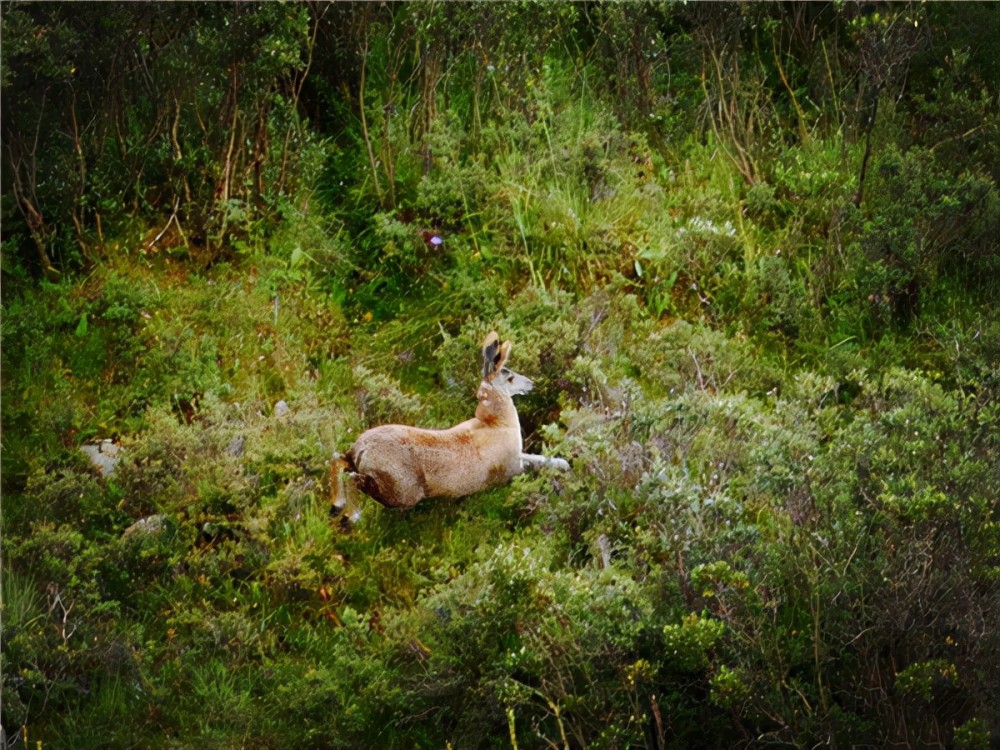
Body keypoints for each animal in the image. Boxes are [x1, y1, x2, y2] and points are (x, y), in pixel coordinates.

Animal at [336, 334, 572, 516]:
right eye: (510, 377)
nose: (531, 383)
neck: (495, 423)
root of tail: (358, 450)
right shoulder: (513, 466)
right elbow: (540, 463)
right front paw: (565, 466)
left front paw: (565, 463)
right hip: (402, 489)